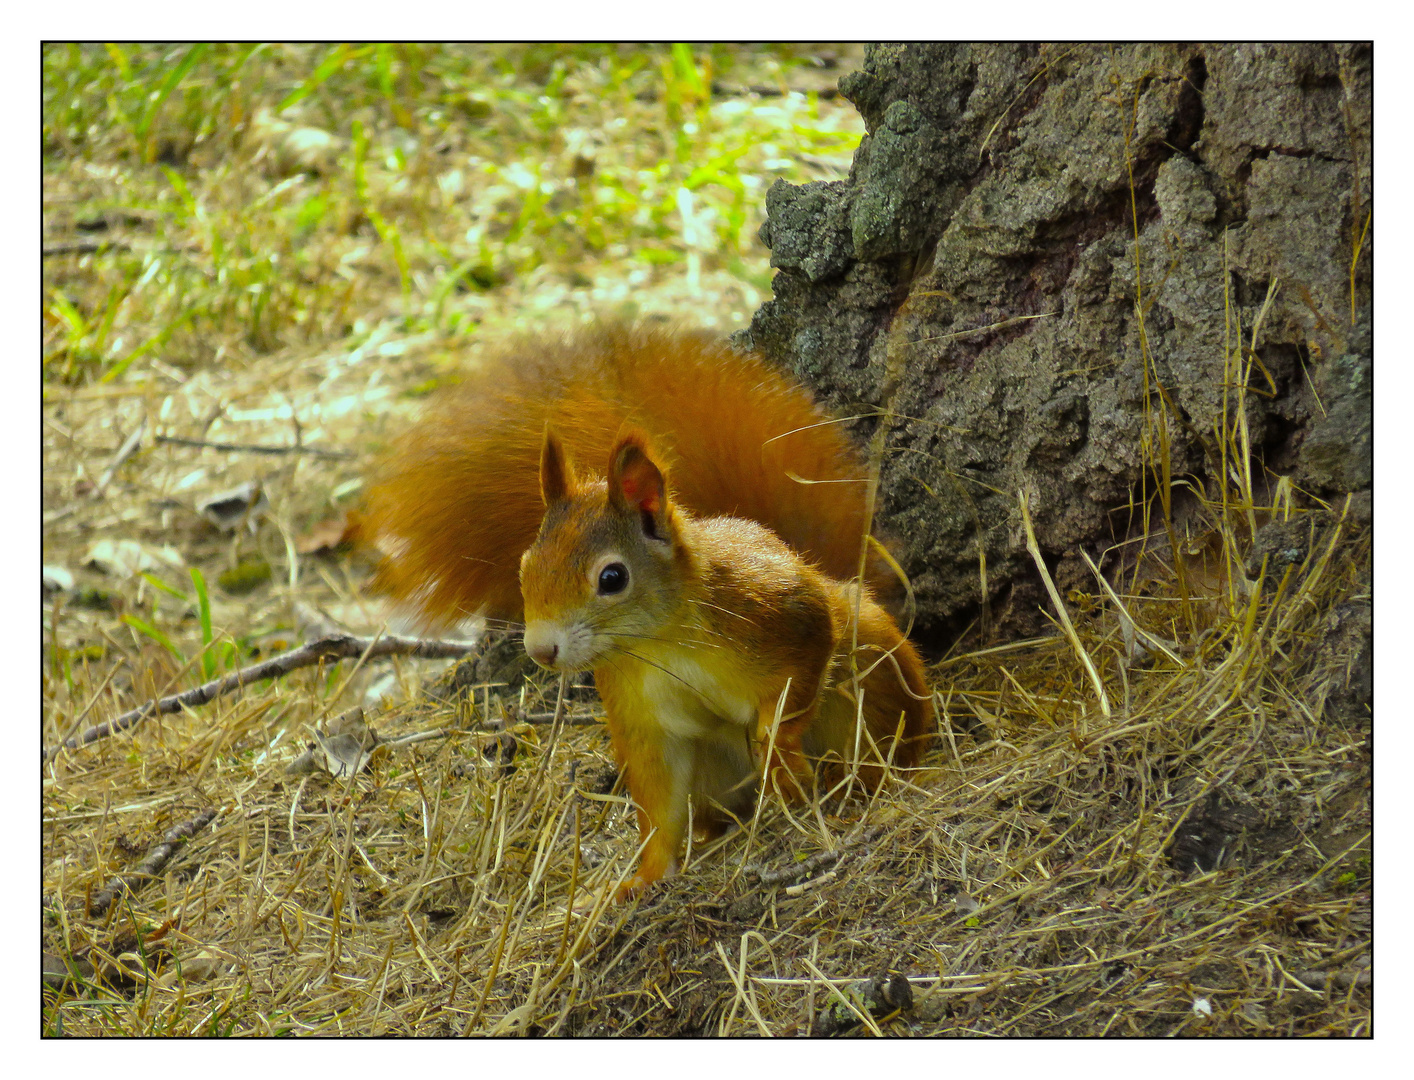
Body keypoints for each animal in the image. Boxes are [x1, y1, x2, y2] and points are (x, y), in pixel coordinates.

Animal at [359, 325, 933, 899]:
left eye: (612, 578)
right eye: (524, 568)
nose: (541, 650)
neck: (663, 641)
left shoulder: (781, 616)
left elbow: (797, 681)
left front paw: (781, 759)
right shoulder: (642, 712)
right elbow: (658, 802)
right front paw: (647, 876)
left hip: (869, 672)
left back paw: (857, 781)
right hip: (715, 770)